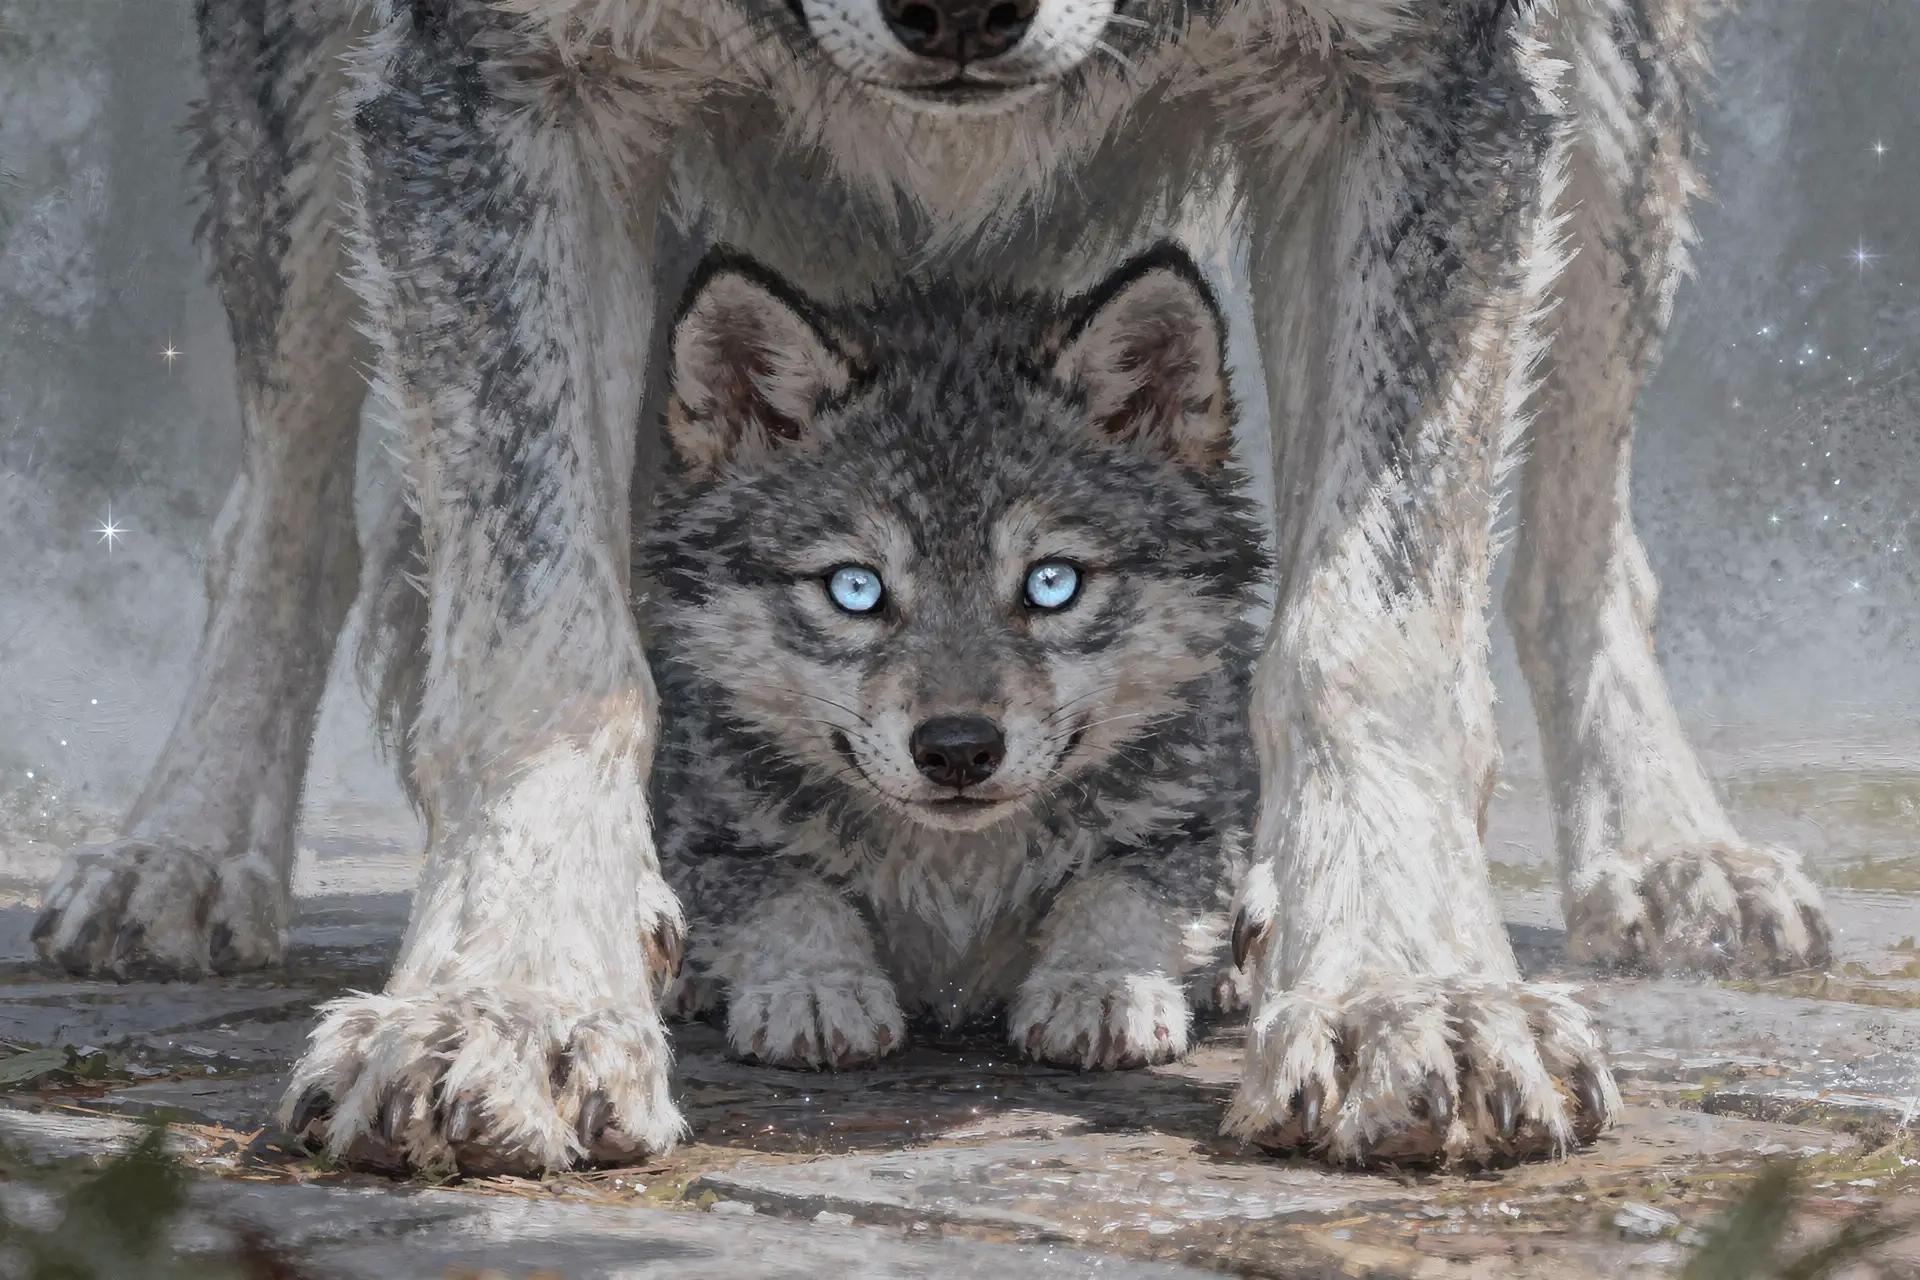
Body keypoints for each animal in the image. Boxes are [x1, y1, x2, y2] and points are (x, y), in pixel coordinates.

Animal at [644, 247, 1267, 1071]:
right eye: (855, 587)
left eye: (1052, 582)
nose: (959, 749)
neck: (957, 873)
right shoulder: (710, 839)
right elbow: (791, 895)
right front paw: (815, 986)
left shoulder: (1194, 829)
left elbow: (1117, 890)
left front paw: (1102, 985)